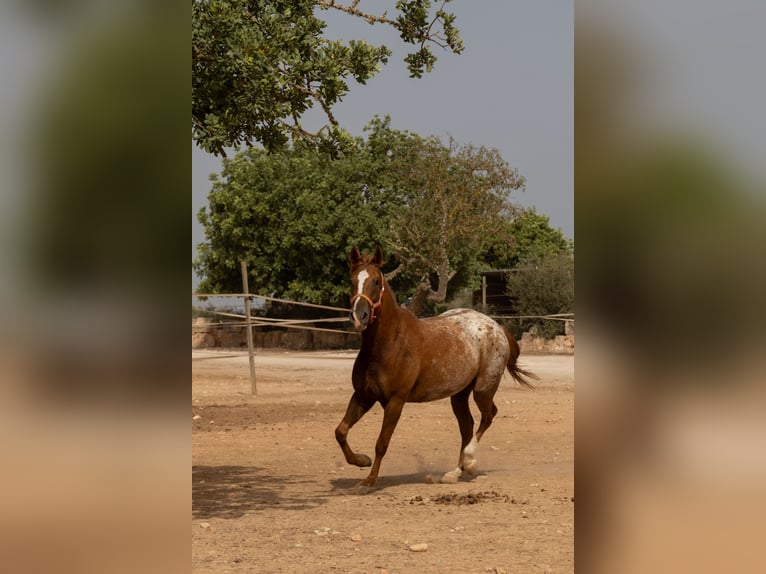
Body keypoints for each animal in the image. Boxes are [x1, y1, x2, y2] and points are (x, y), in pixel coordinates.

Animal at [335, 246, 539, 488]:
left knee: (488, 416)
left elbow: (382, 443)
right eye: (352, 280)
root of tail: (496, 326)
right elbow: (341, 431)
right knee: (467, 426)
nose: (359, 317)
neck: (390, 343)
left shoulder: (395, 401)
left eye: (376, 281)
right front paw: (362, 461)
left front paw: (369, 480)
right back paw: (454, 473)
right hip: (459, 394)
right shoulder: (363, 395)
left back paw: (469, 461)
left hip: (483, 389)